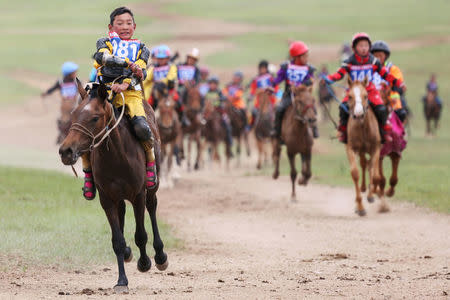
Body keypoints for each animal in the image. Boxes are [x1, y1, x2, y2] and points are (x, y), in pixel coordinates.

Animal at [58, 82, 167, 292]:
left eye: (94, 118)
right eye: (74, 114)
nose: (65, 151)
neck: (117, 157)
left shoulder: (138, 195)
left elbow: (141, 234)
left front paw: (144, 262)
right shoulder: (107, 198)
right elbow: (117, 241)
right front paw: (122, 280)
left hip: (151, 188)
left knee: (152, 206)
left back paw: (159, 255)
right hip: (118, 197)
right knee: (122, 211)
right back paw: (128, 253)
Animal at [344, 76, 386, 214]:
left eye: (366, 95)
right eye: (350, 96)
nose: (358, 114)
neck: (362, 127)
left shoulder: (376, 148)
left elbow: (376, 175)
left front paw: (372, 194)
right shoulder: (351, 148)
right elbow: (355, 173)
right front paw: (360, 207)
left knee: (370, 167)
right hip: (361, 150)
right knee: (363, 164)